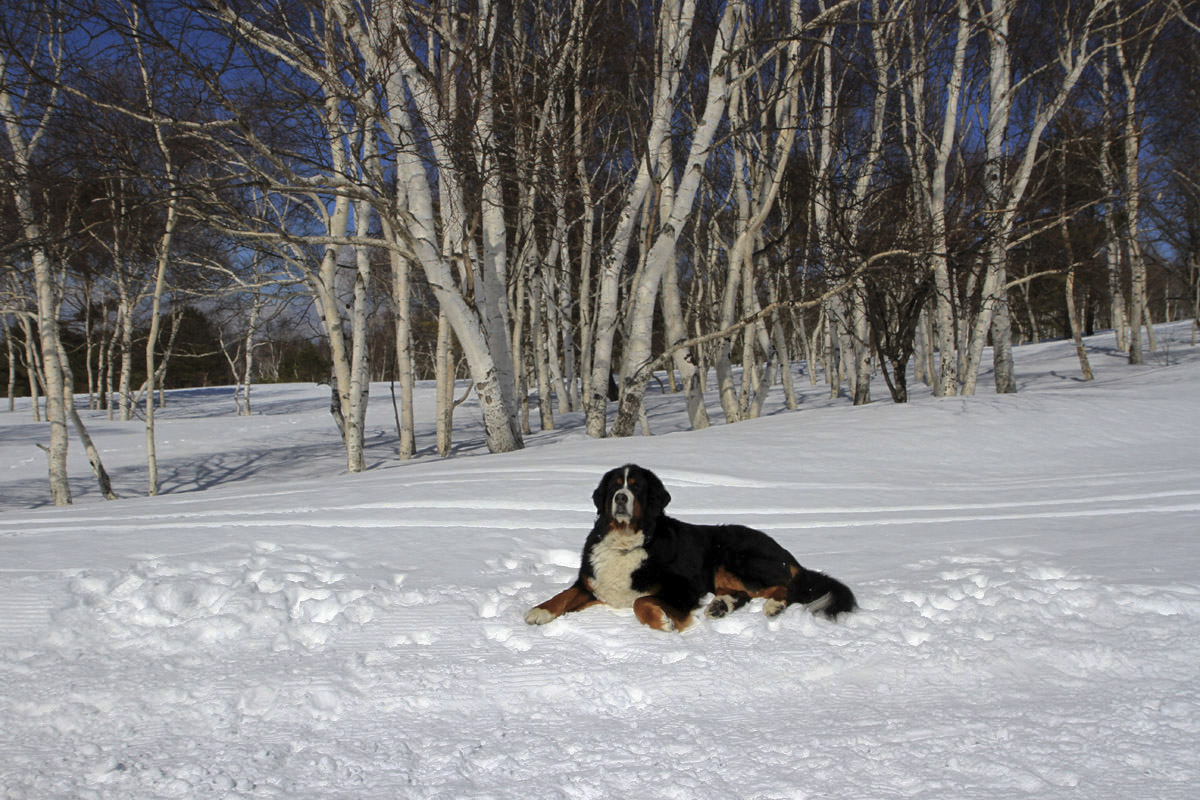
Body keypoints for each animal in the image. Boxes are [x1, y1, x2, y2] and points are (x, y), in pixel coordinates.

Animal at [523, 462, 854, 633]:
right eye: (615, 485)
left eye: (636, 487)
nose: (620, 498)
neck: (627, 541)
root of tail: (786, 554)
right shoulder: (591, 583)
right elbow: (563, 595)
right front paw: (539, 611)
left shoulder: (682, 588)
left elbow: (640, 601)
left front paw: (663, 621)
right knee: (743, 593)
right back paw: (721, 605)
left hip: (735, 554)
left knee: (787, 586)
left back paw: (773, 606)